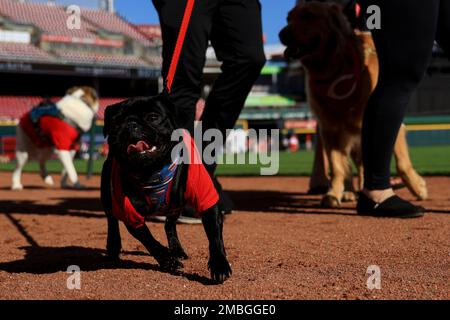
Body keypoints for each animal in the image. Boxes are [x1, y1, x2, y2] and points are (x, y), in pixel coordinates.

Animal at [280, 1, 428, 208]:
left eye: (309, 15)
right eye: (288, 18)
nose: (282, 34)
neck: (336, 71)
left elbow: (402, 162)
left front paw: (417, 187)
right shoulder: (330, 129)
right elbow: (337, 167)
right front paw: (333, 193)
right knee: (348, 166)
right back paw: (349, 191)